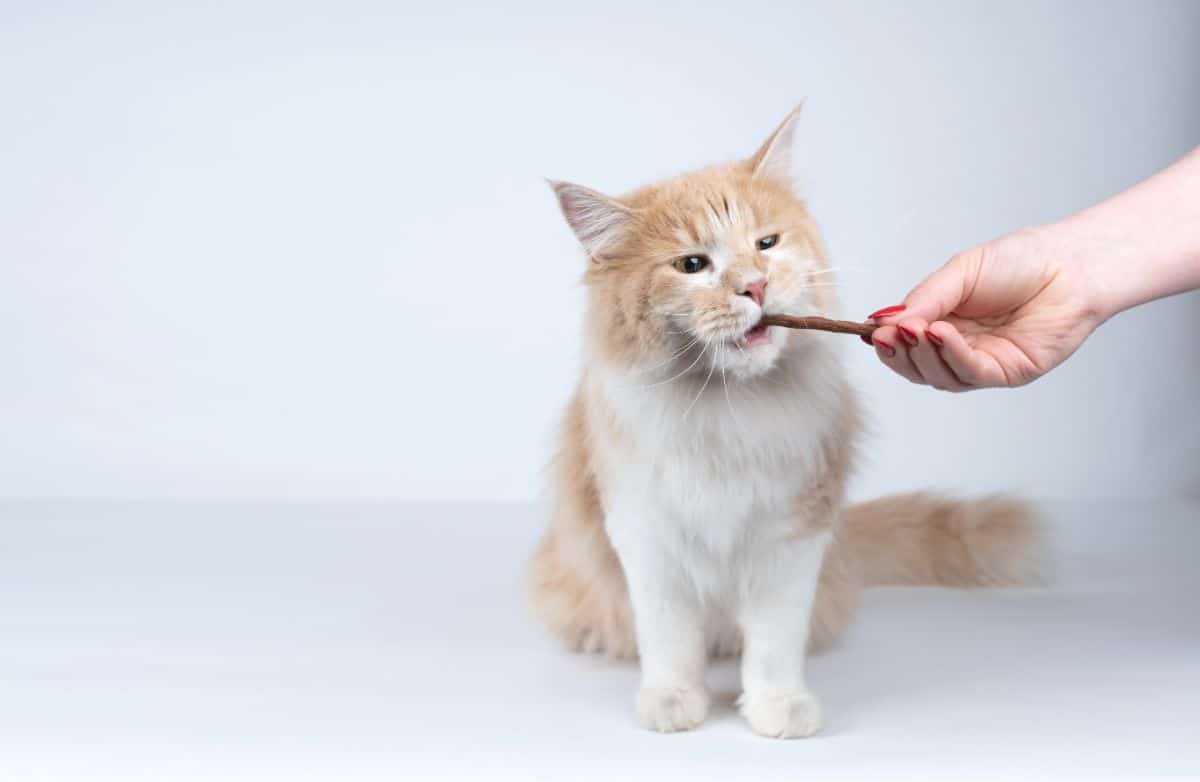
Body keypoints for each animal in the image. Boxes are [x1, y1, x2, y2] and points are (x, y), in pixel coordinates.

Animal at [525, 108, 1041, 738]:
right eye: (692, 265)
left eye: (765, 244)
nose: (756, 286)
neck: (727, 409)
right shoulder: (647, 532)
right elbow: (669, 637)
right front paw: (674, 700)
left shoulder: (792, 532)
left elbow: (774, 641)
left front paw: (779, 707)